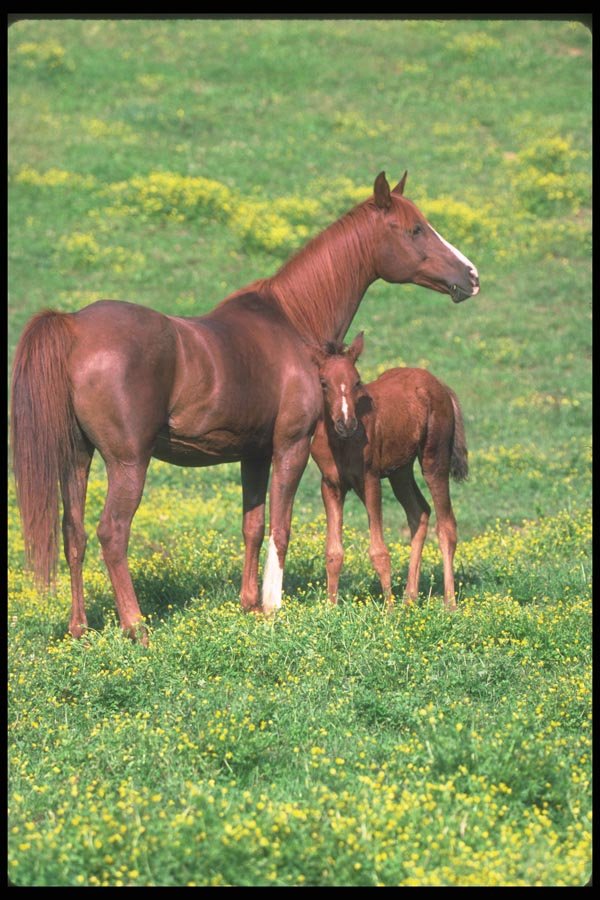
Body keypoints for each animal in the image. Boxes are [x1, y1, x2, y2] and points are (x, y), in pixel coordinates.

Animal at [310, 332, 469, 609]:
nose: (346, 423)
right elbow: (333, 551)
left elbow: (379, 551)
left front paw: (388, 610)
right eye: (323, 383)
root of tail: (440, 386)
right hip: (400, 471)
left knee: (447, 526)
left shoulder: (370, 479)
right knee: (419, 512)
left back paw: (449, 603)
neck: (341, 443)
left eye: (357, 381)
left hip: (434, 459)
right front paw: (330, 608)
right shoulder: (331, 484)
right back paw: (410, 597)